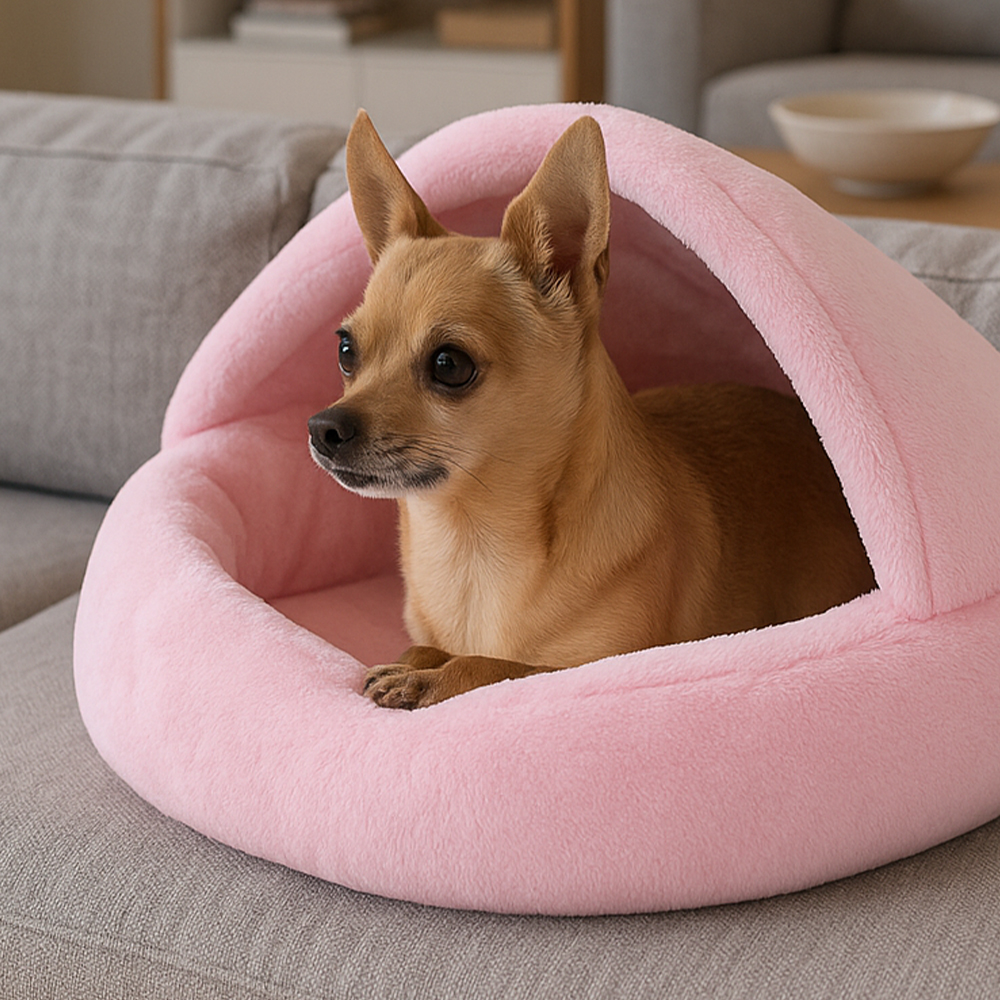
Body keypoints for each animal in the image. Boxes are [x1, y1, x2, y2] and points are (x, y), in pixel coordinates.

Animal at [308, 110, 875, 709]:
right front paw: (417, 661)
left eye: (449, 364)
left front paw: (434, 676)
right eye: (346, 350)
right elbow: (422, 646)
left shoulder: (602, 666)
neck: (471, 545)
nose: (323, 427)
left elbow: (498, 667)